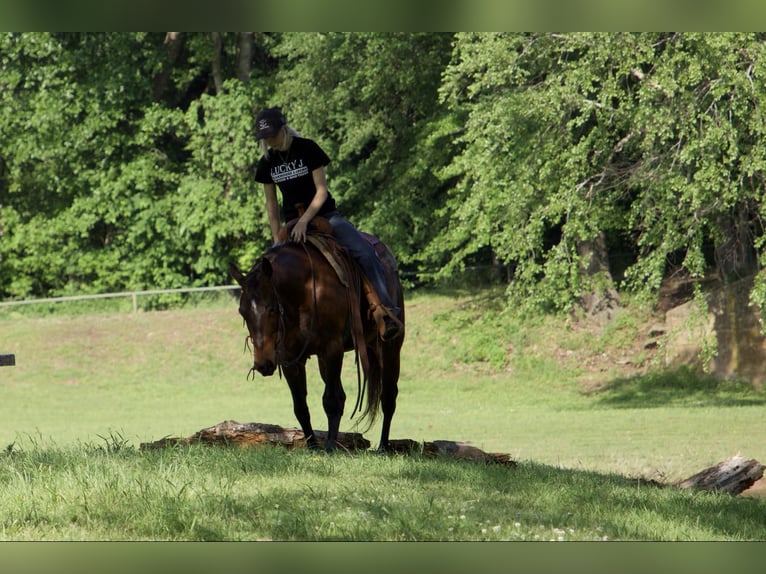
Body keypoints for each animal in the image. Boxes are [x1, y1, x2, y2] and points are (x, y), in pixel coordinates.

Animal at [230, 232, 404, 452]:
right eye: (242, 312)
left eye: (271, 308)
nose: (263, 364)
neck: (305, 290)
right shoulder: (290, 358)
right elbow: (300, 407)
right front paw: (312, 446)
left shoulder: (332, 348)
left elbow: (332, 400)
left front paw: (329, 446)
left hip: (390, 348)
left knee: (388, 397)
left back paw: (383, 446)